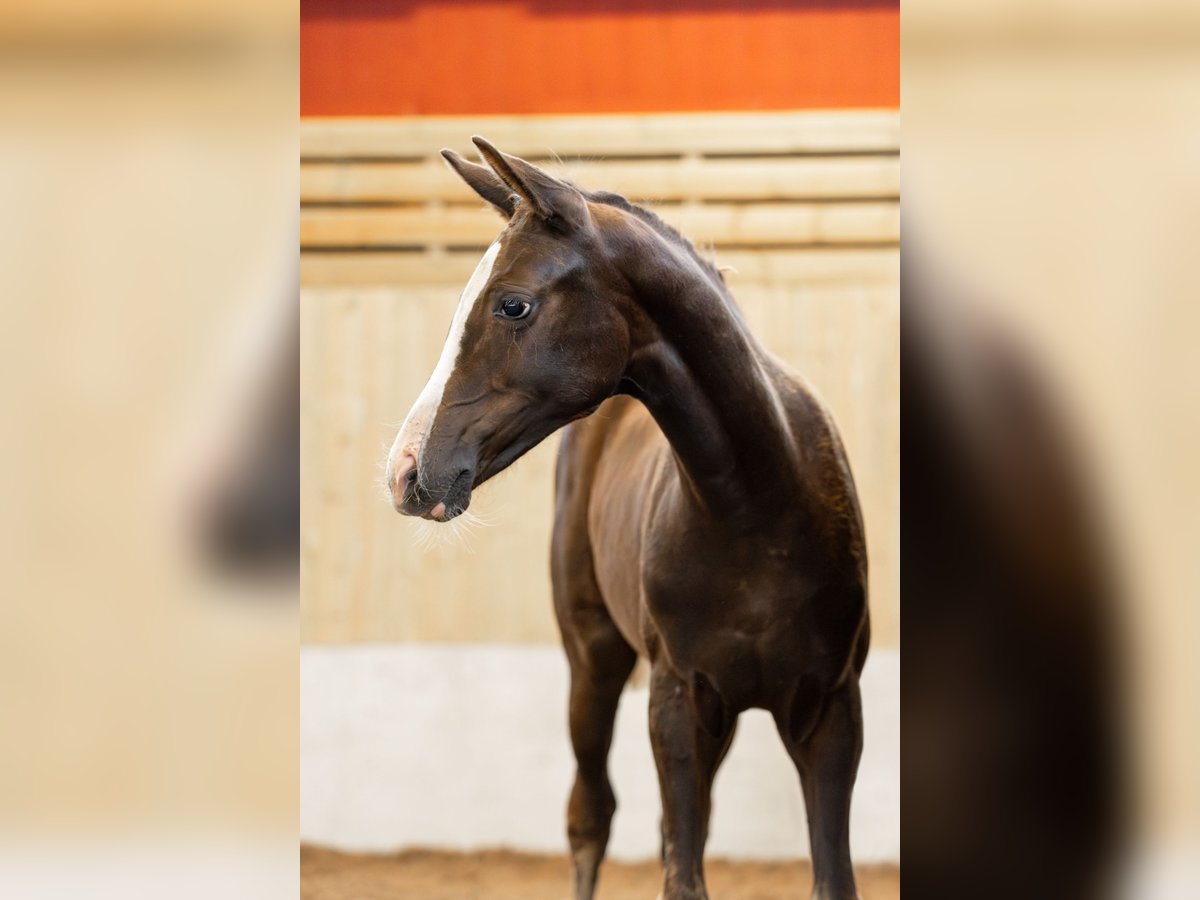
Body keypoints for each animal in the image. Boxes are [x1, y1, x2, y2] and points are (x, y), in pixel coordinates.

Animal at [388, 139, 868, 900]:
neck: (756, 512)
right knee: (591, 816)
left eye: (513, 305)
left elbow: (827, 877)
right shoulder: (676, 704)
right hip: (594, 660)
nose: (406, 472)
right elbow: (679, 874)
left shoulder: (831, 710)